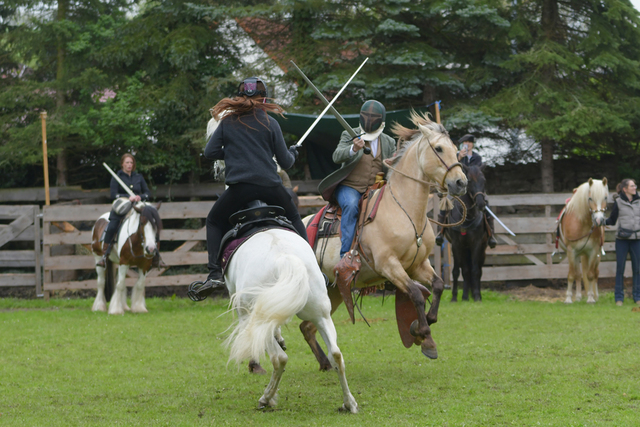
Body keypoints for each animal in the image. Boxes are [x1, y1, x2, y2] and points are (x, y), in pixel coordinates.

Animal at [222, 231, 358, 414]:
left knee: (279, 358)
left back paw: (266, 398)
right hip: (321, 316)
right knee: (336, 355)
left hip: (253, 317)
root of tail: (285, 258)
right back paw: (349, 402)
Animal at [298, 112, 468, 370]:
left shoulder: (418, 266)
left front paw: (422, 328)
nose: (461, 183)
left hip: (332, 291)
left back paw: (326, 363)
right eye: (438, 148)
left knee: (307, 327)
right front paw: (424, 335)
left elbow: (438, 286)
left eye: (456, 150)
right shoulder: (389, 265)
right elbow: (415, 294)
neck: (405, 210)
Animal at [444, 166, 490, 302]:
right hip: (464, 250)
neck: (467, 217)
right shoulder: (456, 245)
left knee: (478, 270)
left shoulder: (477, 244)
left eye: (484, 180)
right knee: (465, 270)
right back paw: (465, 296)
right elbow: (457, 271)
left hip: (482, 249)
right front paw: (454, 297)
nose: (481, 204)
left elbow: (475, 270)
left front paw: (477, 296)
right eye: (469, 181)